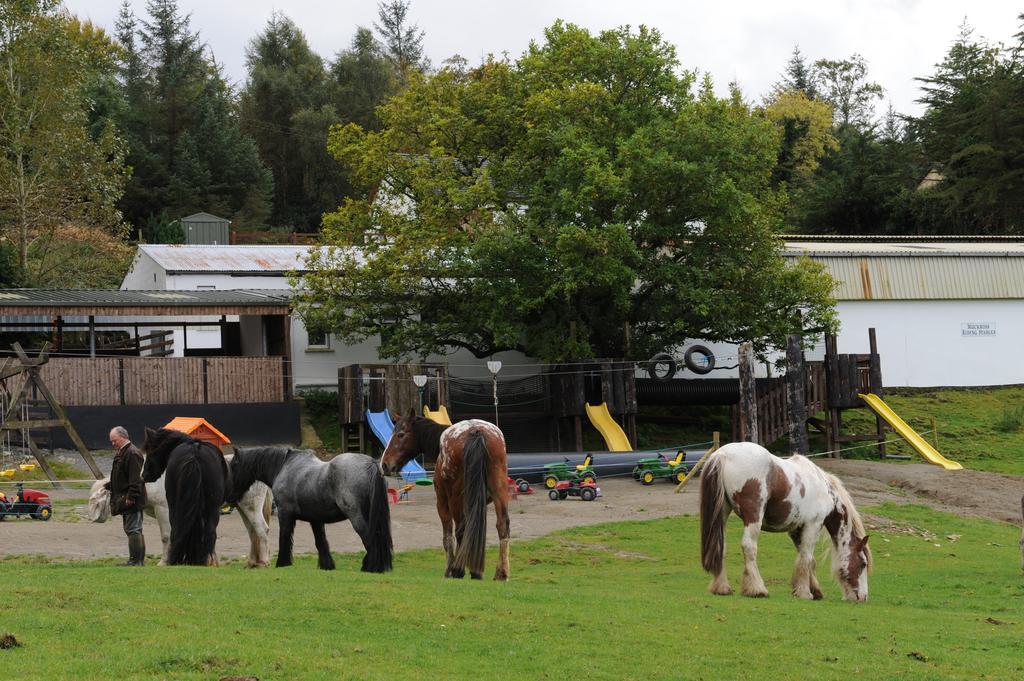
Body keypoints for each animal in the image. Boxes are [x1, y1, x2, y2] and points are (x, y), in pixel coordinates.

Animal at [89, 456, 272, 561]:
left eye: (95, 499)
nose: (92, 519)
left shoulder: (163, 509)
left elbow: (166, 536)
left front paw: (164, 561)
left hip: (251, 506)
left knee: (262, 530)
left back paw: (263, 561)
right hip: (242, 507)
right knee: (253, 532)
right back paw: (252, 562)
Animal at [225, 446, 391, 569]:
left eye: (233, 466)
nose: (229, 496)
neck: (283, 467)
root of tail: (371, 464)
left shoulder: (285, 514)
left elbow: (284, 538)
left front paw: (282, 563)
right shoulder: (315, 520)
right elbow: (321, 542)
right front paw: (327, 566)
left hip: (356, 516)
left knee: (369, 539)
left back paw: (371, 567)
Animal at [380, 409, 512, 577]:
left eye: (400, 434)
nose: (384, 464)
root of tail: (476, 431)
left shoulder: (442, 503)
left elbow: (447, 538)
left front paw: (451, 568)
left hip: (455, 499)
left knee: (461, 530)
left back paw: (459, 569)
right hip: (498, 492)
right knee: (502, 525)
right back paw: (500, 573)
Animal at [704, 444, 872, 602]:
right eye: (863, 563)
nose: (863, 597)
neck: (825, 489)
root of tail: (722, 454)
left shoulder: (797, 530)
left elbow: (807, 559)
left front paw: (813, 590)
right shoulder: (813, 525)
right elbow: (806, 558)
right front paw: (805, 593)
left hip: (723, 512)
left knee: (721, 546)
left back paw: (721, 588)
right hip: (753, 516)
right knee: (749, 547)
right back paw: (757, 589)